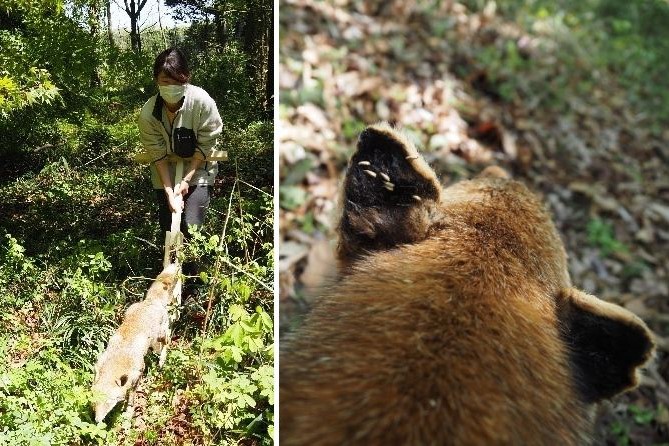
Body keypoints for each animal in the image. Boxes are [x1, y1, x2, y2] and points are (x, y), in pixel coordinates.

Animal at [92, 264, 180, 424]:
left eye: (108, 402)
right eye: (95, 402)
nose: (97, 421)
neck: (118, 359)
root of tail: (151, 301)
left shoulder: (137, 375)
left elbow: (131, 398)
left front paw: (128, 413)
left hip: (160, 338)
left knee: (167, 341)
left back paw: (162, 361)